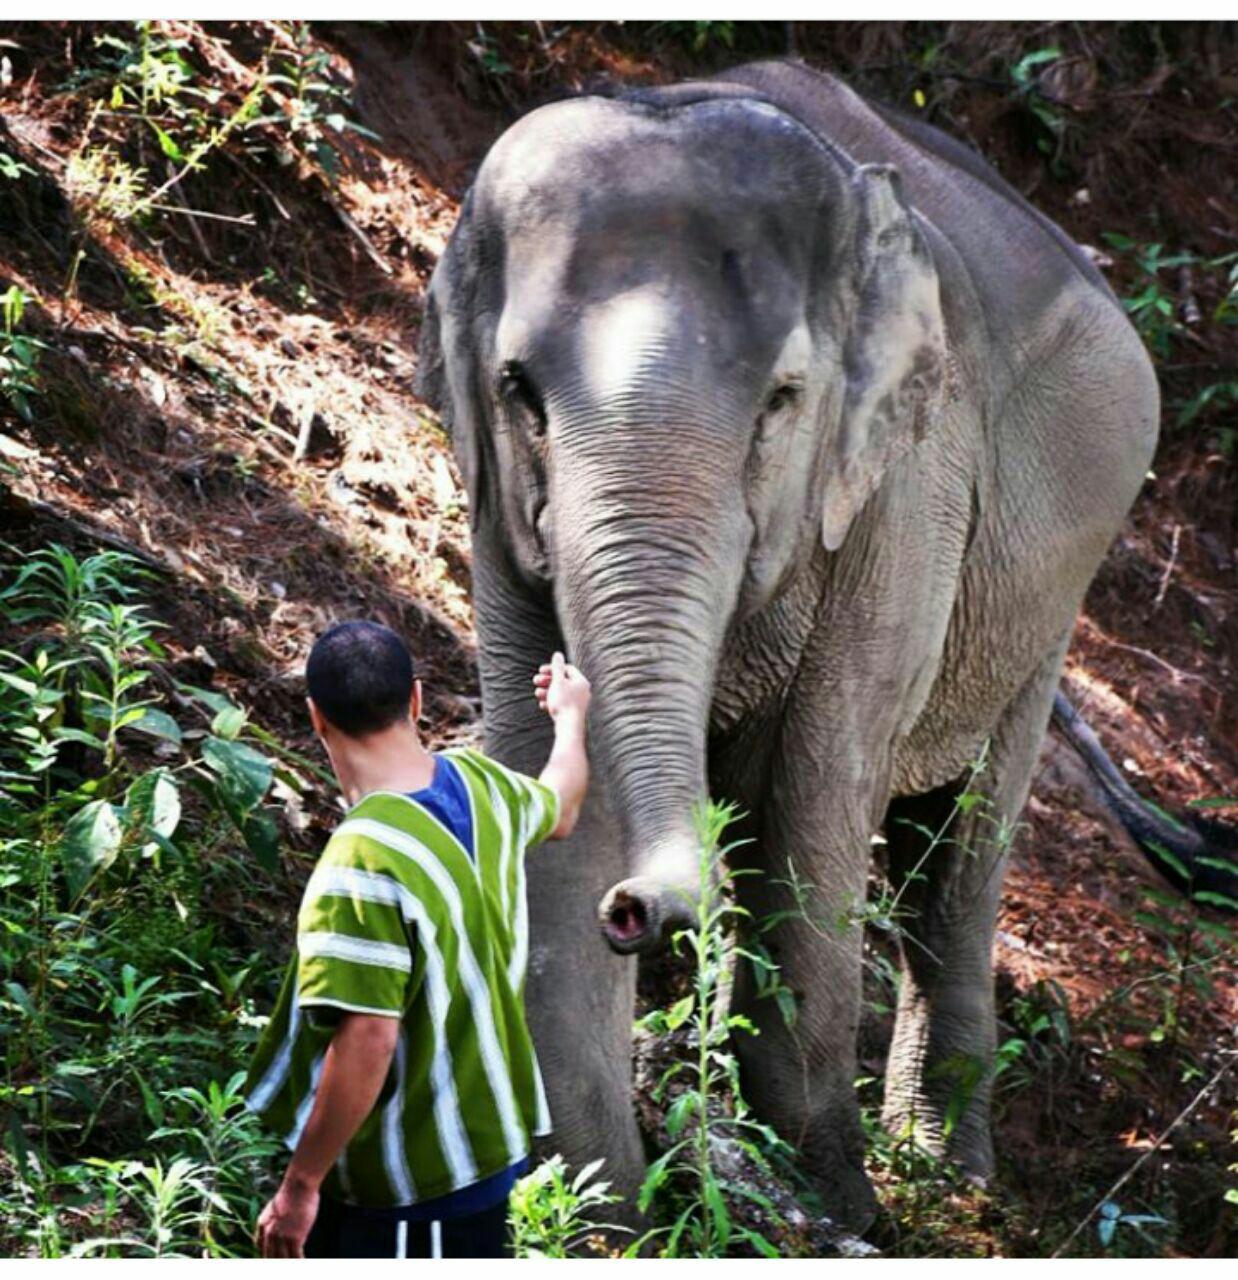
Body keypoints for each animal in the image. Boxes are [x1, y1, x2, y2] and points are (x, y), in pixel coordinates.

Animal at [417, 62, 1162, 1228]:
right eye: (517, 392)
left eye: (782, 398)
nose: (639, 910)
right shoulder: (498, 517)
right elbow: (545, 783)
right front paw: (588, 1210)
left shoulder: (905, 496)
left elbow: (819, 790)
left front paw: (839, 1205)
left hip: (1045, 611)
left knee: (955, 850)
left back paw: (944, 1171)